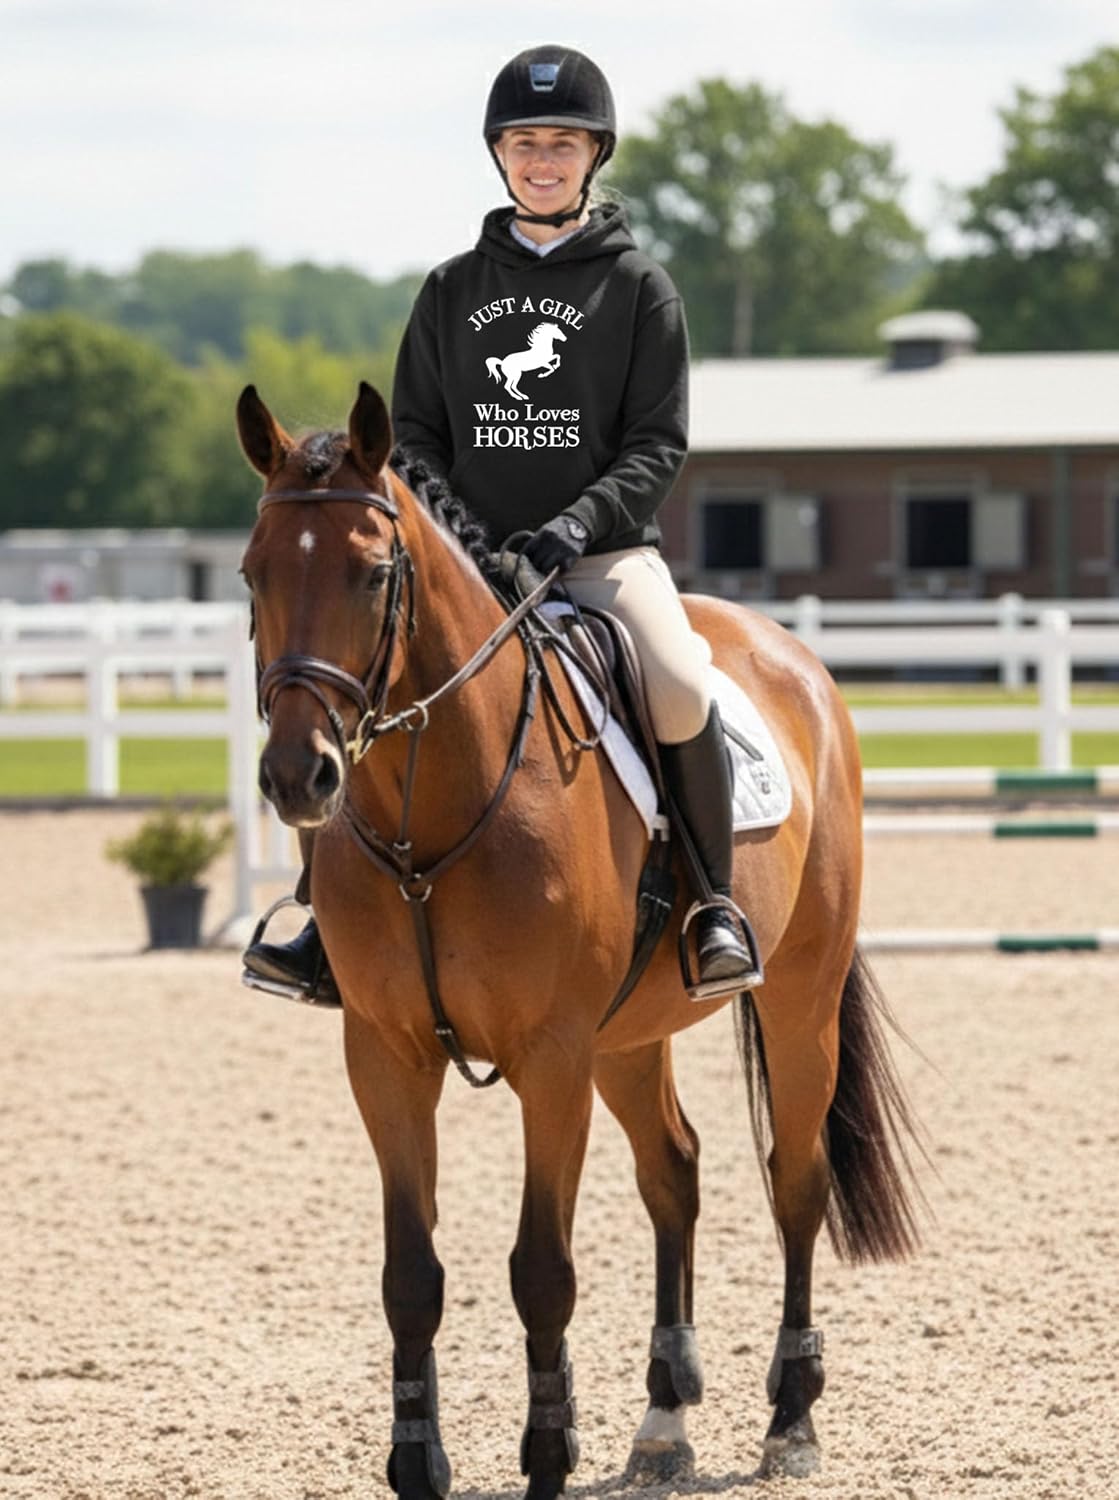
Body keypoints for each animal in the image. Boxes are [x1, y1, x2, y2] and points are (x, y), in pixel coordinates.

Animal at [236, 380, 922, 1500]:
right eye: (253, 572)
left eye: (373, 574)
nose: (301, 777)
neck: (438, 810)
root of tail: (793, 658)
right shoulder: (384, 1056)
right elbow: (410, 1274)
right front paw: (417, 1461)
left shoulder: (550, 1060)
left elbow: (541, 1271)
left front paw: (549, 1458)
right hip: (629, 1036)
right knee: (674, 1173)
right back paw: (664, 1420)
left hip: (796, 999)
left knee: (795, 1180)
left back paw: (789, 1419)